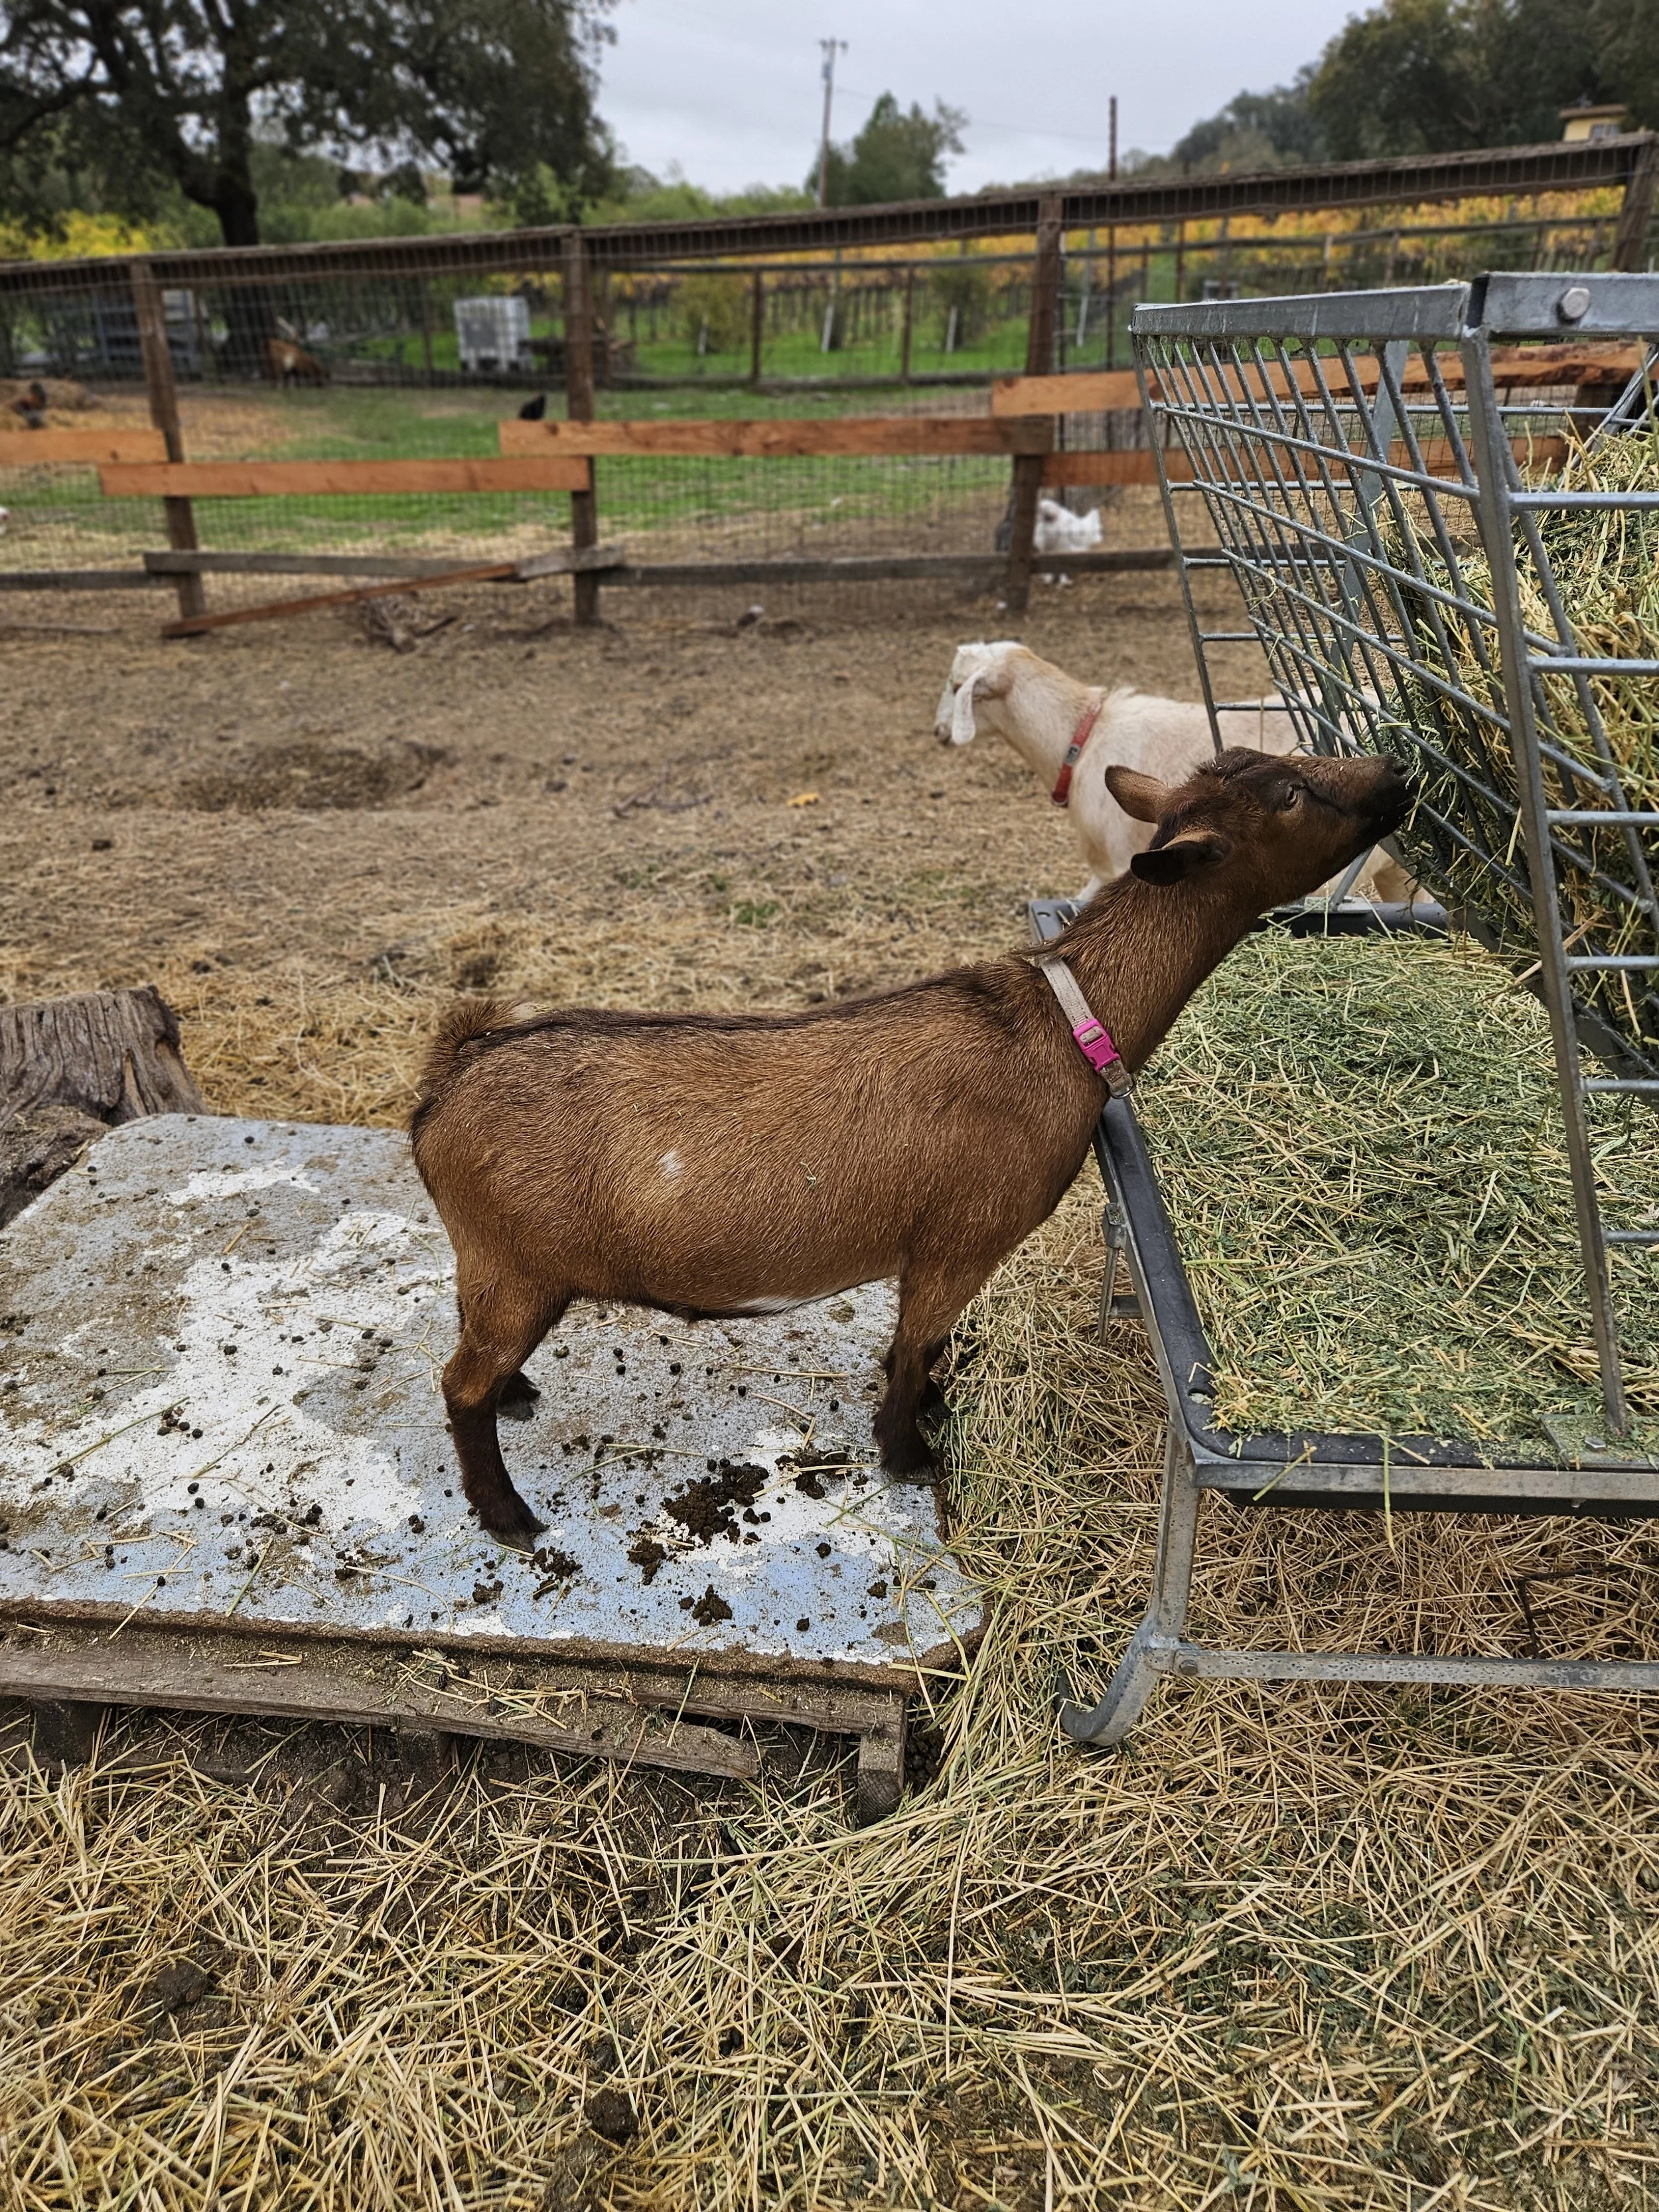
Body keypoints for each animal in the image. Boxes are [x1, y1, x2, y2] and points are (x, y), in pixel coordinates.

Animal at [411, 746, 1414, 1548]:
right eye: (1291, 793)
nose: (1396, 773)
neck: (1057, 1025)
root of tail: (445, 1084)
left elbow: (921, 1351)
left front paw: (932, 1410)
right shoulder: (962, 1239)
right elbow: (912, 1346)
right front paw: (911, 1453)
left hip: (499, 1270)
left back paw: (519, 1396)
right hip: (517, 1264)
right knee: (457, 1382)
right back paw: (508, 1514)